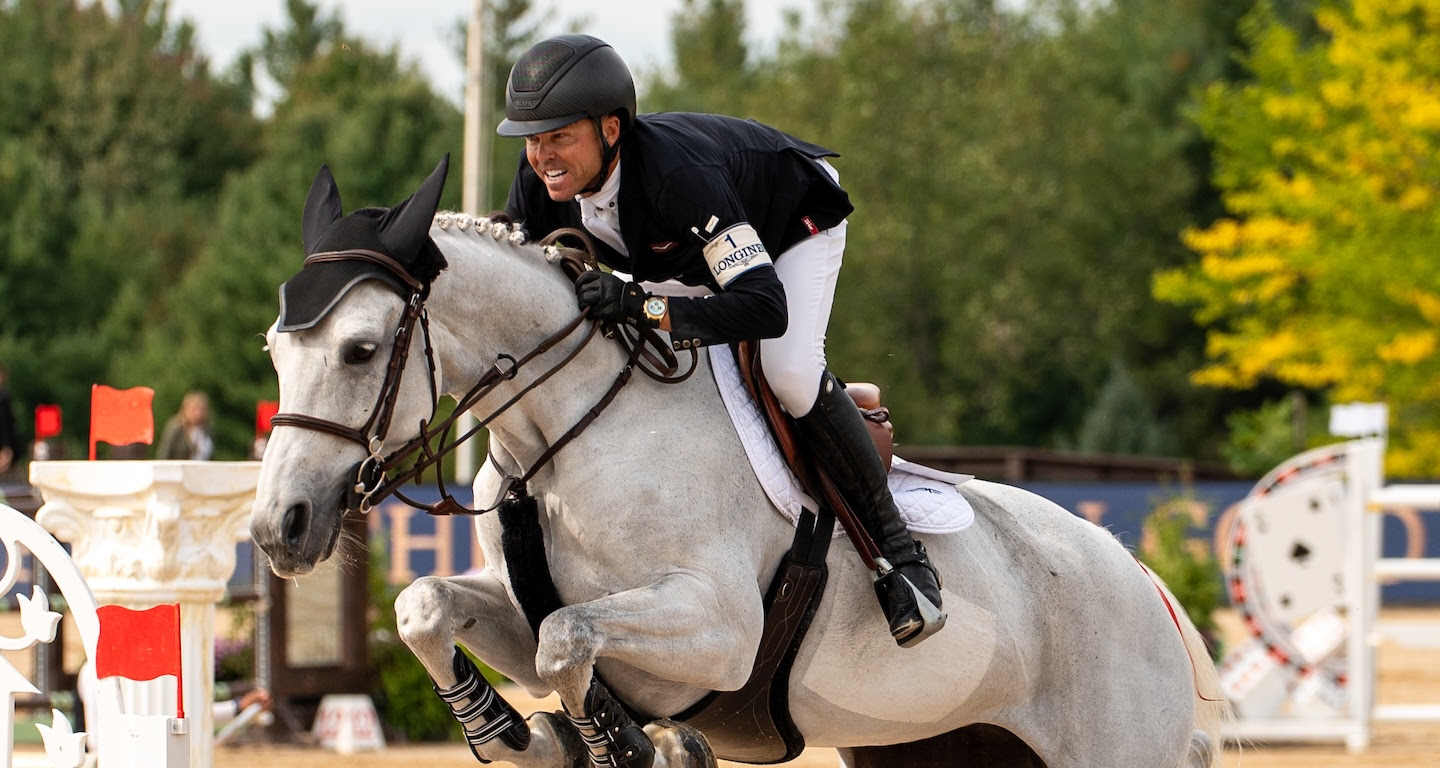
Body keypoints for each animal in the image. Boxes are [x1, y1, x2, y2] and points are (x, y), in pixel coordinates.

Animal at [250, 157, 1226, 768]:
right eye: (274, 349)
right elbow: (430, 608)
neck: (569, 434)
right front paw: (516, 735)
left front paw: (624, 743)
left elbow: (571, 639)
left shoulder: (718, 631)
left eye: (361, 349)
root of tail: (1148, 585)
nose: (277, 529)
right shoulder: (525, 612)